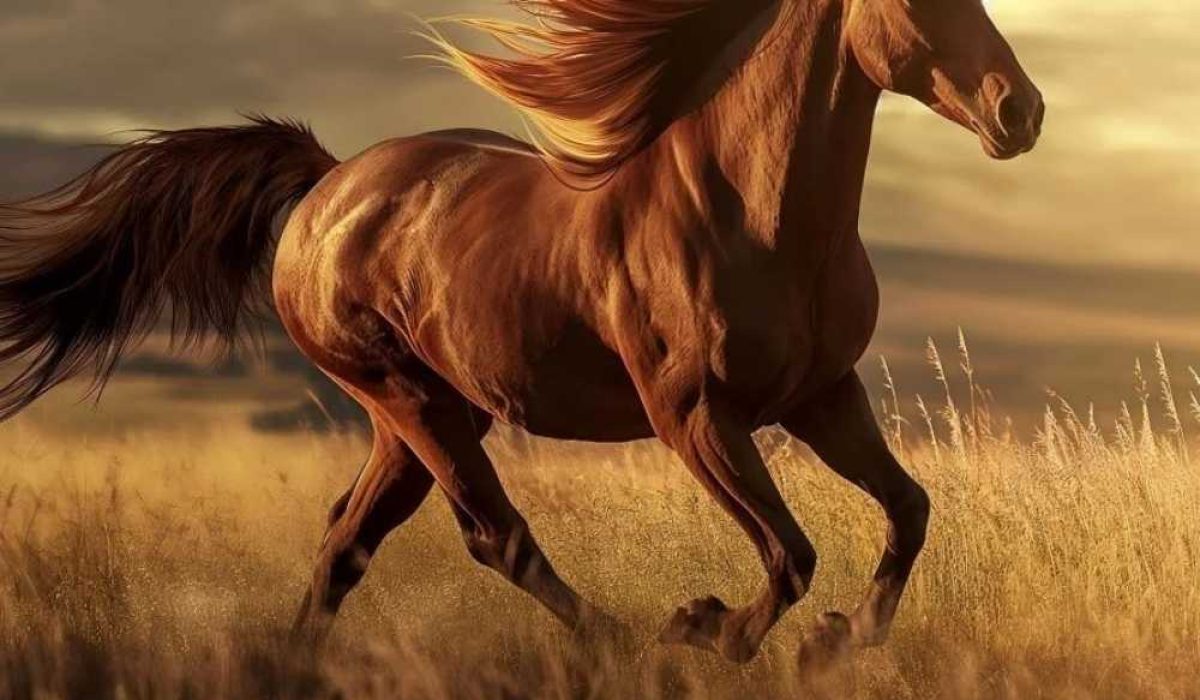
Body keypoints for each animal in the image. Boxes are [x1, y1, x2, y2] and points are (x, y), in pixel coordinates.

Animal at [0, 0, 1042, 664]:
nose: (1021, 111)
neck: (753, 213)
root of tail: (330, 184)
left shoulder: (823, 396)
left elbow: (909, 511)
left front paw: (836, 641)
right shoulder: (694, 417)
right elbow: (791, 554)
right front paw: (707, 627)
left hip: (425, 415)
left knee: (347, 541)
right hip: (408, 398)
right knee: (493, 536)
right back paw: (625, 642)